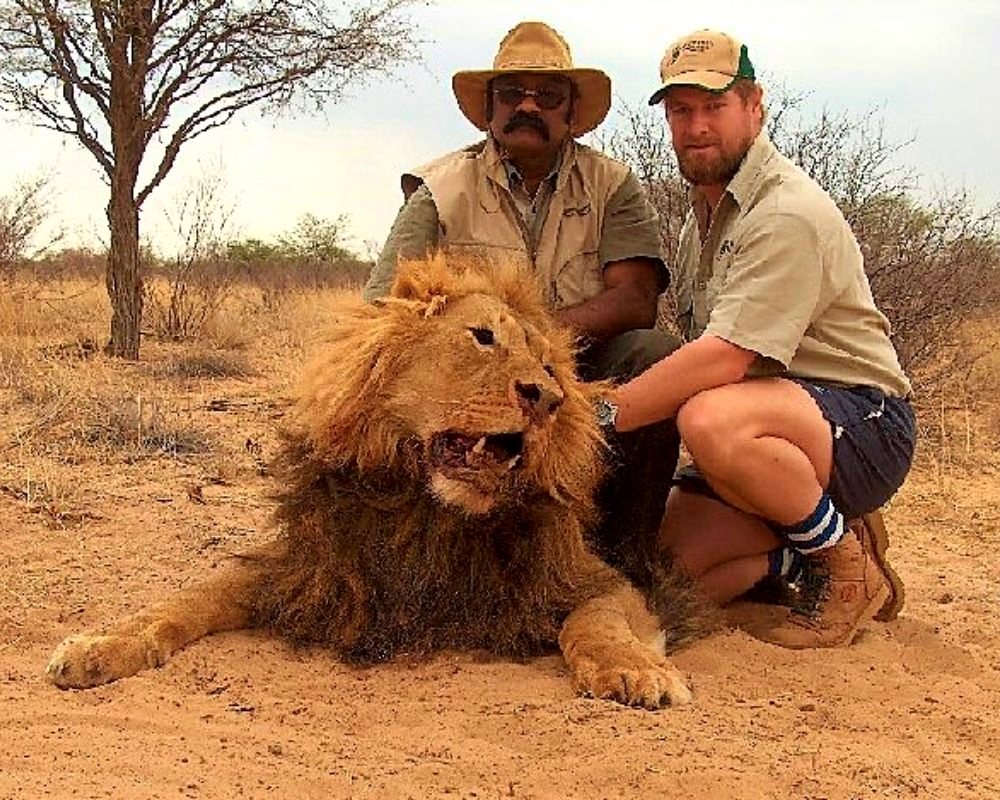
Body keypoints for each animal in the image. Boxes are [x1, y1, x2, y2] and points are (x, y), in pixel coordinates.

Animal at [46, 253, 710, 709]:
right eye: (483, 337)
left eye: (549, 367)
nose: (545, 399)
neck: (426, 509)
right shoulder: (303, 565)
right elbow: (183, 599)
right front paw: (96, 647)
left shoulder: (596, 580)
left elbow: (596, 623)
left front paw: (639, 671)